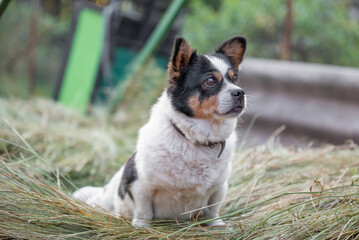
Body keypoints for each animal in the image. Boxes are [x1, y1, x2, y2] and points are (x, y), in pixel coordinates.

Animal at [73, 35, 248, 227]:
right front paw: (142, 227)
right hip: (106, 198)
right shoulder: (140, 186)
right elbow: (144, 211)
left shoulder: (219, 188)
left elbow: (213, 210)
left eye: (235, 78)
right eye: (210, 81)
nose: (240, 92)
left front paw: (217, 226)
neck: (196, 139)